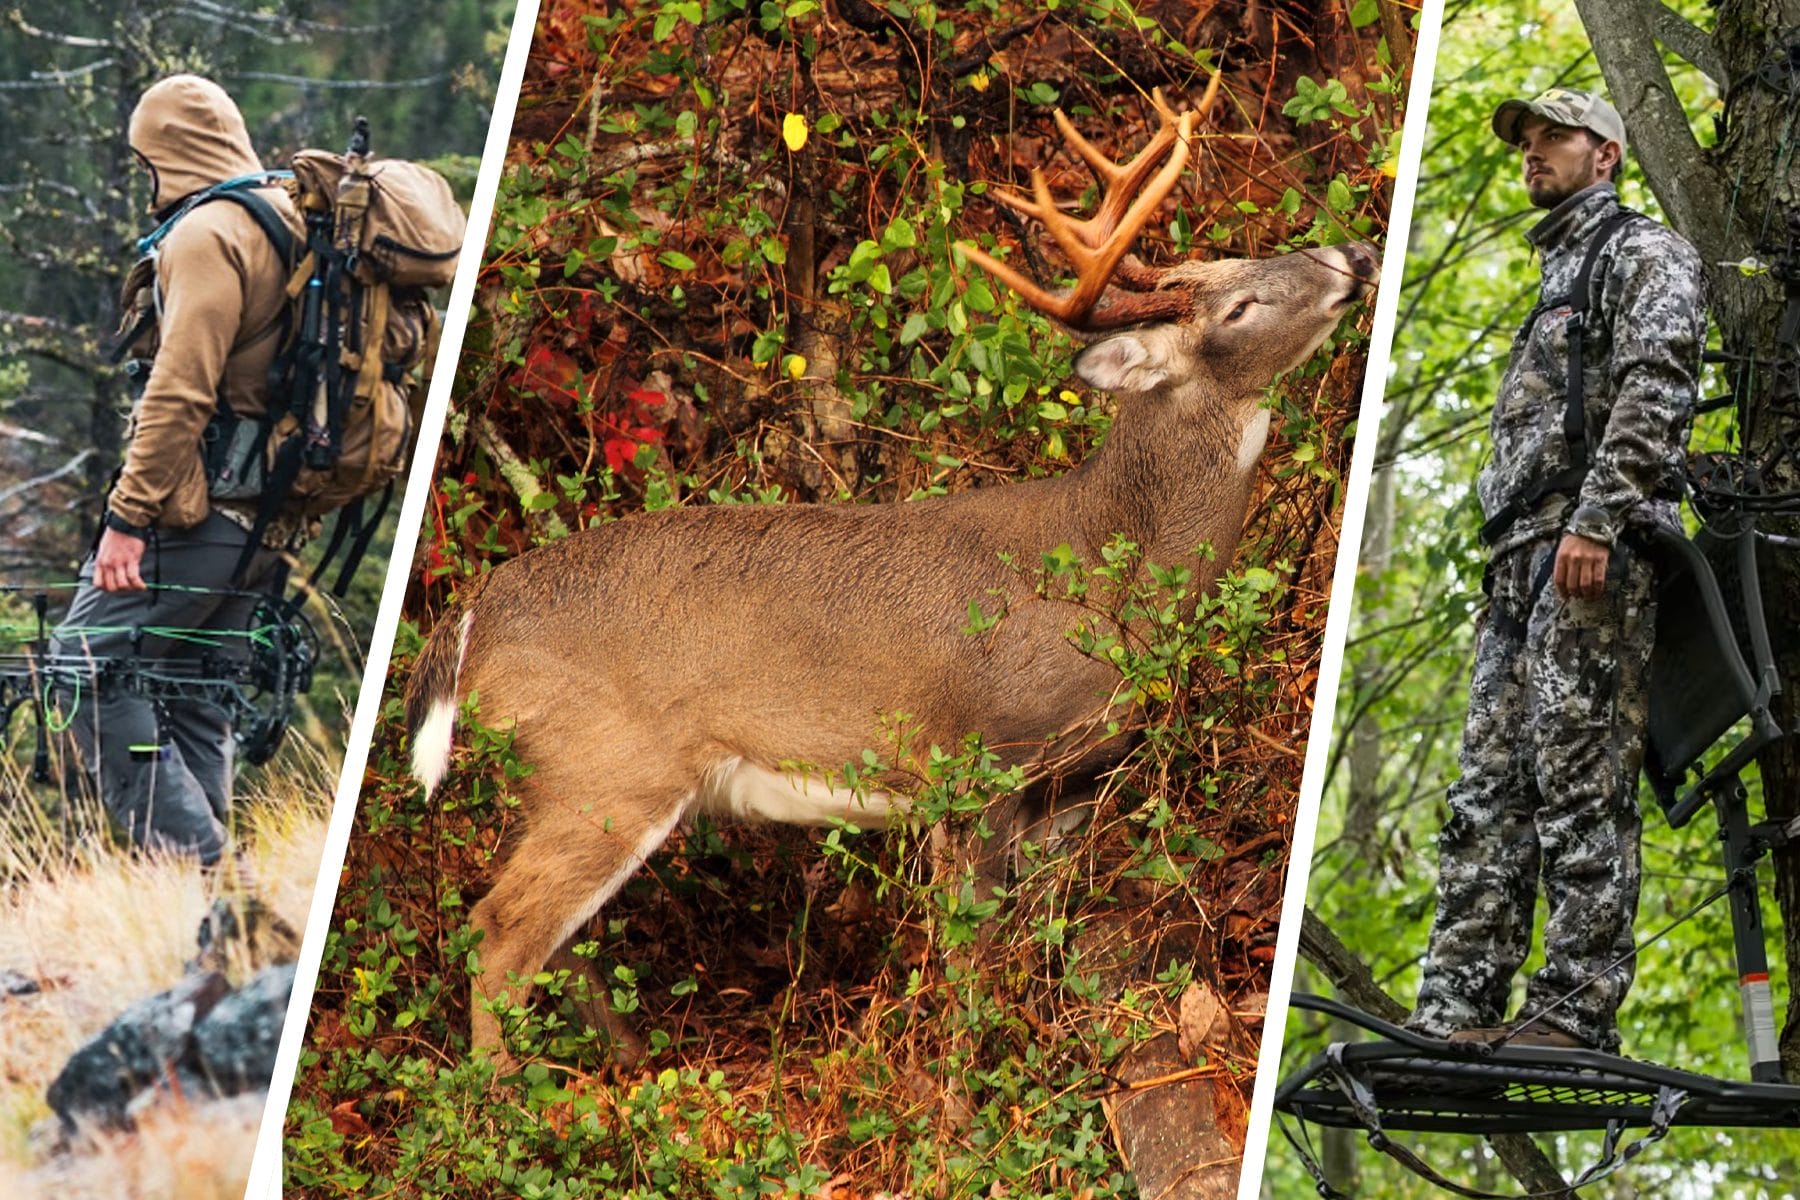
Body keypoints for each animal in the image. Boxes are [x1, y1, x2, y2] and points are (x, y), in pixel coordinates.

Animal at [404, 89, 1378, 1061]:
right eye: (1239, 307)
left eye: (1240, 261)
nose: (1357, 254)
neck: (1109, 574)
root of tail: (472, 617)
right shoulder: (978, 761)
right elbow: (972, 948)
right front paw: (970, 1074)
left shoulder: (1071, 781)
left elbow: (1043, 932)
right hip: (600, 768)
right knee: (501, 932)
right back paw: (518, 1095)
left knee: (558, 942)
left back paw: (623, 1068)